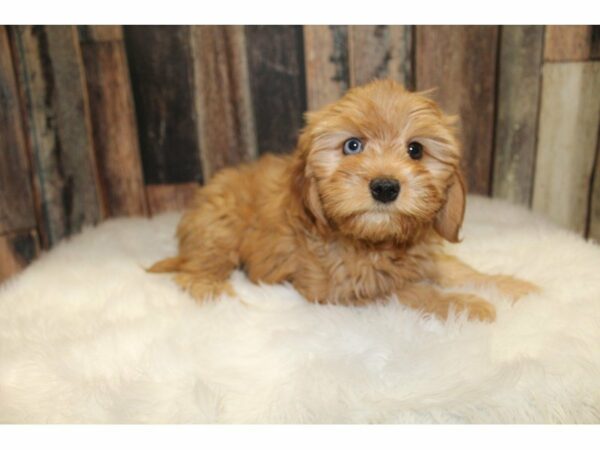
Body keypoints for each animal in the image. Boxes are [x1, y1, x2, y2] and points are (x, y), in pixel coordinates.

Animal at [151, 80, 540, 320]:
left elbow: (458, 270)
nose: (385, 187)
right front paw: (467, 305)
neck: (375, 242)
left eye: (415, 150)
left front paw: (510, 286)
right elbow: (410, 292)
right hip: (220, 227)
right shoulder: (345, 289)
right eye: (352, 145)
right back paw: (219, 296)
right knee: (194, 273)